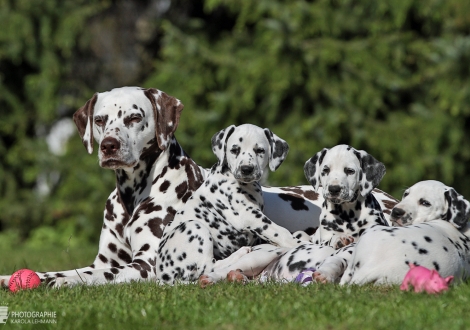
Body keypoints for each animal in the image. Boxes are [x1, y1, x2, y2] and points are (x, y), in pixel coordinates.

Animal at [156, 124, 306, 284]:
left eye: (259, 150)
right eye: (235, 150)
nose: (246, 169)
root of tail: (164, 277)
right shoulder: (252, 217)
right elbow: (281, 232)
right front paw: (300, 244)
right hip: (195, 226)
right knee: (208, 267)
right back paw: (240, 252)